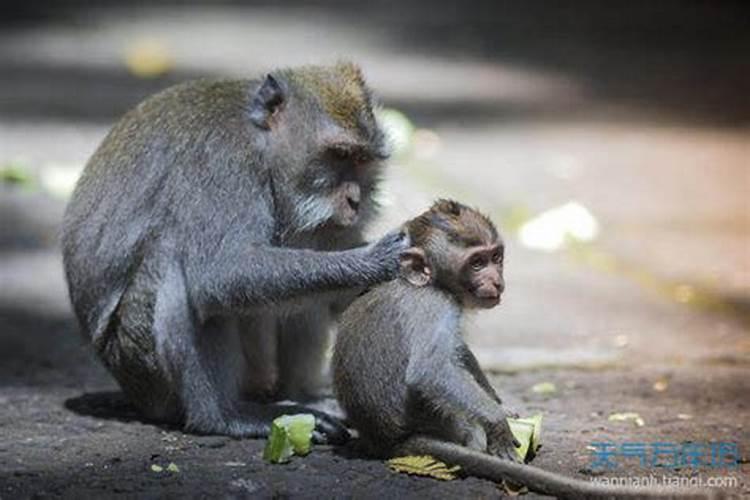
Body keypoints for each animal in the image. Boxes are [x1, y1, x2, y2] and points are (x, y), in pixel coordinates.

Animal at [61, 62, 408, 442]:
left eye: (362, 160)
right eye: (339, 154)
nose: (355, 201)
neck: (261, 142)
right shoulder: (223, 163)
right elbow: (219, 275)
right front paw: (373, 260)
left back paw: (298, 396)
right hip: (143, 370)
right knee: (177, 266)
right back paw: (225, 418)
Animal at [334, 201, 716, 498]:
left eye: (496, 257)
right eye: (476, 263)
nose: (496, 281)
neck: (431, 283)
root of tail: (387, 440)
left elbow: (459, 352)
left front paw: (500, 404)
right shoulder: (434, 305)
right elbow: (431, 369)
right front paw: (497, 422)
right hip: (447, 422)